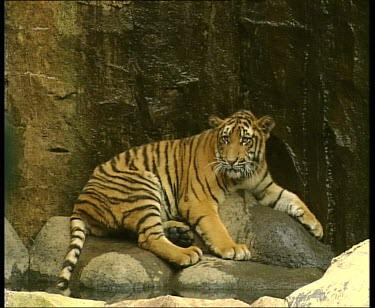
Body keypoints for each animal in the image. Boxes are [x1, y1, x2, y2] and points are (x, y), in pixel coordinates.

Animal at [56, 110, 324, 296]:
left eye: (245, 140)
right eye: (225, 139)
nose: (231, 161)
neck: (242, 175)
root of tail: (79, 204)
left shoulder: (265, 187)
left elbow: (292, 197)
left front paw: (317, 226)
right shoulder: (199, 199)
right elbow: (216, 226)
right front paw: (232, 248)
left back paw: (179, 232)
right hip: (141, 185)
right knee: (147, 237)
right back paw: (186, 253)